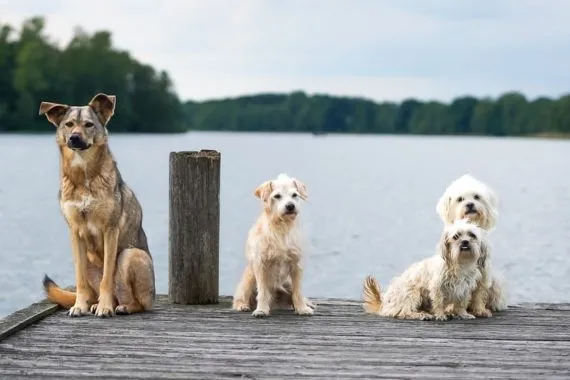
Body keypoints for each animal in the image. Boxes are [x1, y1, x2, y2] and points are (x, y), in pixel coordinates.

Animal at [38, 93, 154, 318]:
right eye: (69, 124)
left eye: (89, 124)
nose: (74, 138)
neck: (83, 175)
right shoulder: (75, 232)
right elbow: (80, 280)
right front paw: (79, 306)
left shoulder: (110, 230)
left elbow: (107, 278)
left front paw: (105, 307)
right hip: (91, 262)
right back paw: (93, 304)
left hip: (130, 255)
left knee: (138, 302)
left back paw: (121, 307)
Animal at [230, 174, 312, 316]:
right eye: (277, 196)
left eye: (294, 195)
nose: (290, 206)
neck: (282, 226)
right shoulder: (261, 264)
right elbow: (263, 292)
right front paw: (261, 310)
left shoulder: (297, 264)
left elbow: (298, 291)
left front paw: (302, 308)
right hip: (248, 279)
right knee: (242, 296)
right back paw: (243, 305)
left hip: (287, 283)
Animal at [434, 174, 506, 316]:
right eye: (460, 199)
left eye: (476, 197)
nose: (470, 204)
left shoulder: (483, 271)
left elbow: (479, 292)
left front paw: (479, 309)